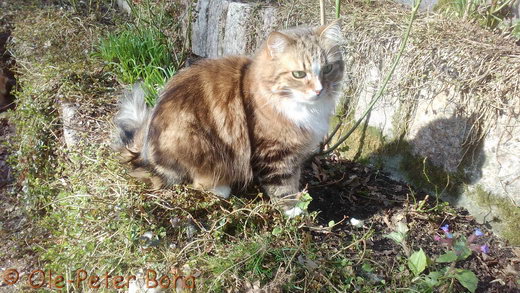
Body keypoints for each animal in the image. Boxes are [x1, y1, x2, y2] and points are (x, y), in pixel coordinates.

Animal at [116, 22, 348, 216]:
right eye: (299, 74)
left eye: (328, 69)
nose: (319, 90)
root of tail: (145, 153)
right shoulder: (274, 152)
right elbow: (282, 185)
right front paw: (294, 210)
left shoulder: (295, 153)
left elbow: (294, 178)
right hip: (196, 142)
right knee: (197, 182)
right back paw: (221, 188)